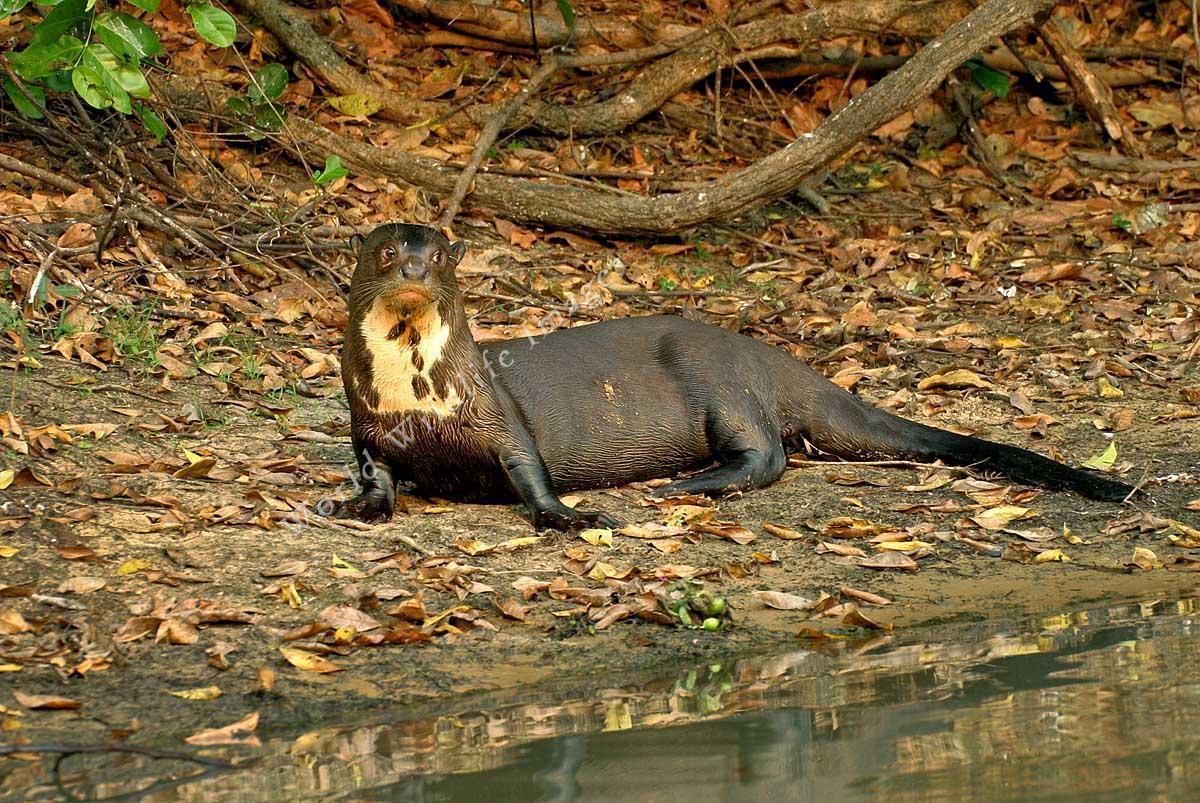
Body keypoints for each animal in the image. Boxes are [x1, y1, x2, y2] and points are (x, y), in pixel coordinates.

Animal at [336, 222, 1132, 528]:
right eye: (386, 253)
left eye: (438, 255)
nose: (413, 268)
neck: (417, 396)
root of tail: (760, 350)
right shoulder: (367, 427)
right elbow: (376, 473)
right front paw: (356, 505)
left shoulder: (498, 416)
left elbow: (529, 471)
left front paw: (571, 515)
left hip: (721, 385)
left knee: (770, 455)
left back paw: (688, 485)